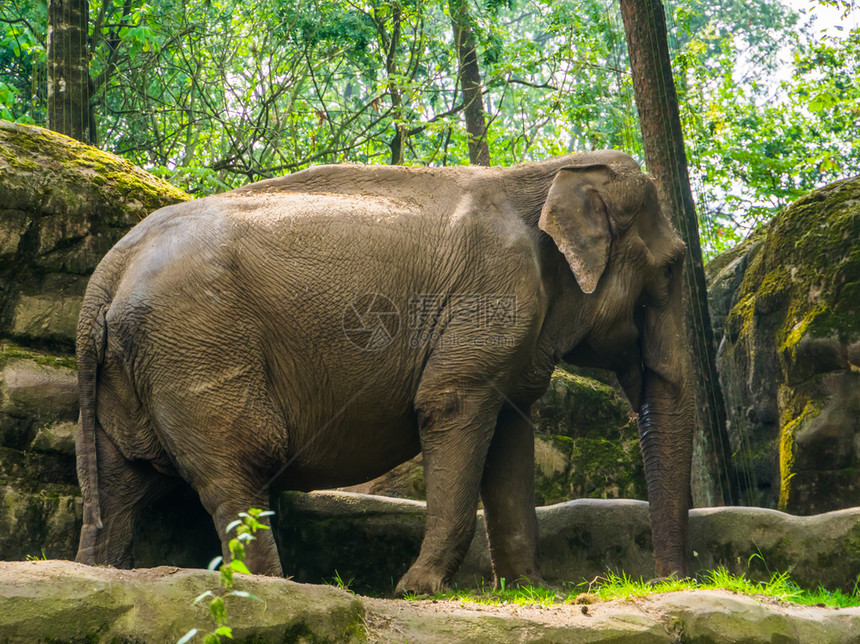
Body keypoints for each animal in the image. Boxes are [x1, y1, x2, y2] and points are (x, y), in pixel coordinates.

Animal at [72, 150, 692, 592]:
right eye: (674, 266)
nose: (669, 580)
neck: (545, 172)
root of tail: (109, 268)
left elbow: (510, 436)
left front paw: (535, 590)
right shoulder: (494, 292)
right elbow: (451, 404)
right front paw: (418, 590)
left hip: (131, 368)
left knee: (118, 481)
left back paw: (101, 573)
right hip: (198, 345)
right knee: (237, 467)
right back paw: (277, 587)